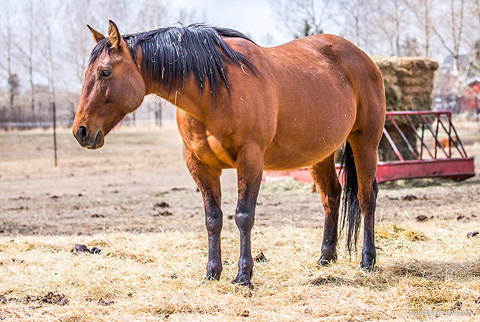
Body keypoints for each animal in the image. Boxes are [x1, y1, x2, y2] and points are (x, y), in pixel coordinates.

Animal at [72, 20, 386, 286]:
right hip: (321, 154)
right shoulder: (200, 166)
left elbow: (244, 215)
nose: (81, 131)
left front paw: (244, 275)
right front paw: (212, 273)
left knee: (366, 196)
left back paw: (367, 261)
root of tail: (362, 57)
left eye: (105, 72)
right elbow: (213, 219)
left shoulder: (250, 160)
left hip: (365, 143)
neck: (213, 91)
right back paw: (325, 258)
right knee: (331, 196)